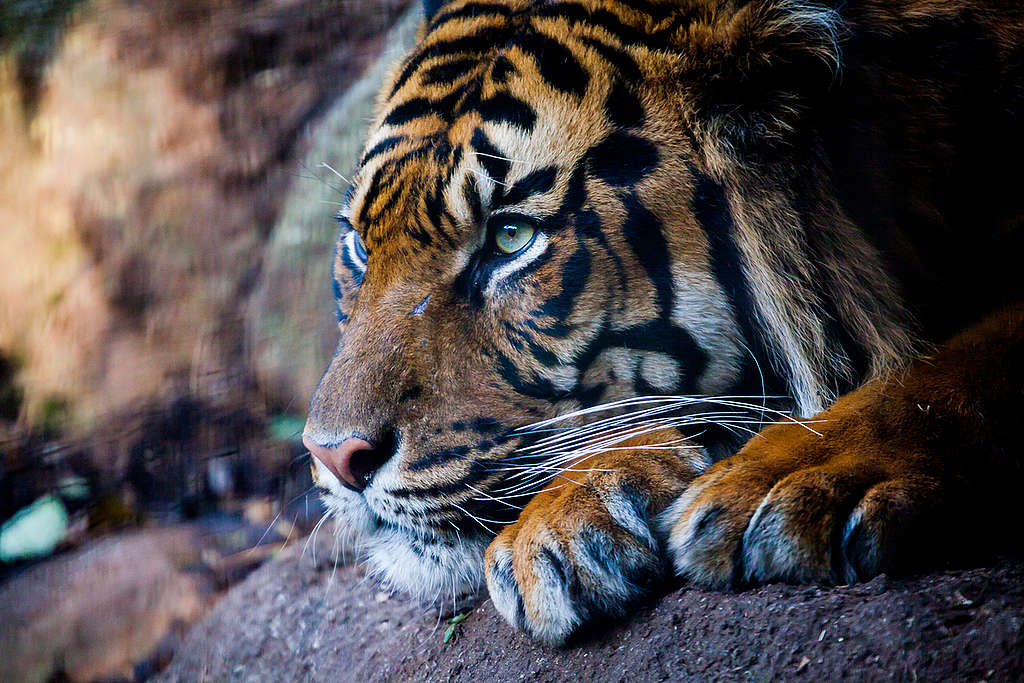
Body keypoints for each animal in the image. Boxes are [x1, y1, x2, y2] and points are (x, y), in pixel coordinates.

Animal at [299, 0, 1024, 647]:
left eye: (510, 238)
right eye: (360, 243)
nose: (332, 456)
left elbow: (951, 370)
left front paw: (799, 476)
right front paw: (567, 517)